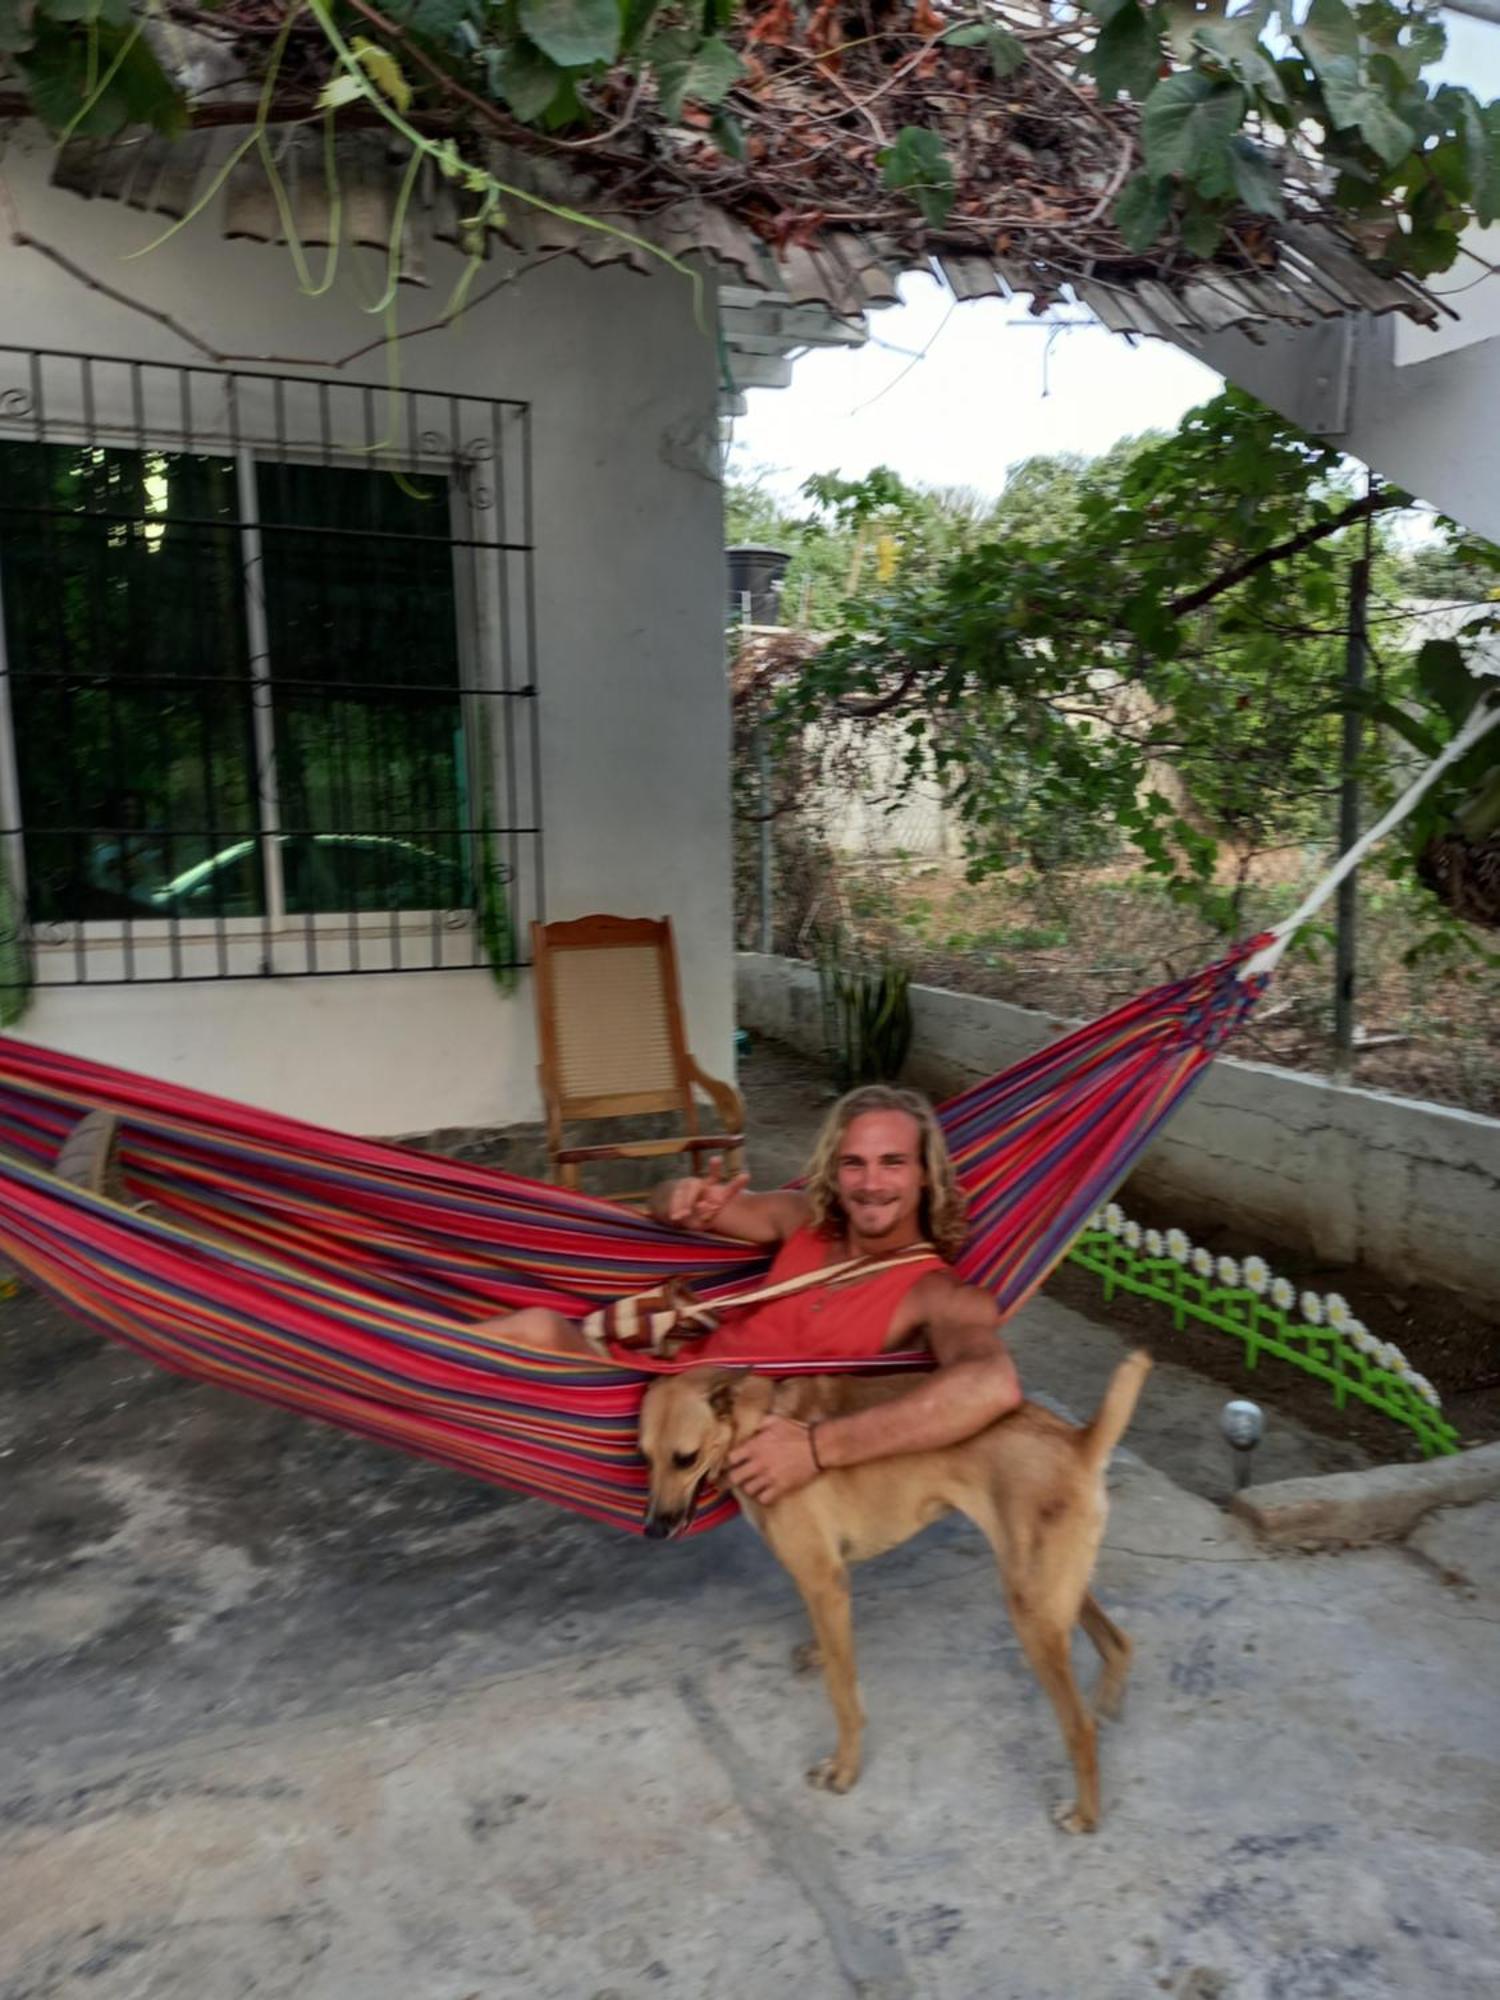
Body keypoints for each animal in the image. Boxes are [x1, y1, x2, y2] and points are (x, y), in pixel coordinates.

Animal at [636, 1352, 1152, 1832]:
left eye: (685, 1457)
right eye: (644, 1456)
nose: (654, 1529)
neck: (755, 1424)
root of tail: (1079, 1441)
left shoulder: (824, 1580)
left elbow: (843, 1692)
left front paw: (844, 1768)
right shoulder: (827, 1588)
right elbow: (833, 1650)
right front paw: (820, 1653)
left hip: (1033, 1612)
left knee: (1080, 1728)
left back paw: (1085, 1814)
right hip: (1051, 1590)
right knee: (1119, 1639)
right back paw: (1110, 1697)